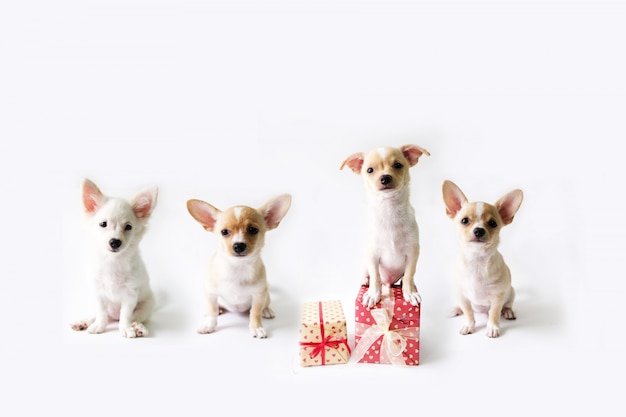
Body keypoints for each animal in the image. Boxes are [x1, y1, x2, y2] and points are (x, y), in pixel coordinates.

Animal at [70, 179, 158, 338]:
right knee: (98, 315)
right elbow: (101, 313)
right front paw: (99, 326)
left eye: (128, 227)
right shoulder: (98, 293)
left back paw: (138, 327)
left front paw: (126, 328)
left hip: (146, 306)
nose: (115, 242)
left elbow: (126, 315)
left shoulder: (130, 295)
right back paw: (84, 322)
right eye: (103, 224)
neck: (113, 261)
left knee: (134, 317)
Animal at [186, 194, 292, 338]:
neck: (237, 268)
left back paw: (267, 311)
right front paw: (209, 325)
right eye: (224, 232)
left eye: (253, 230)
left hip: (266, 296)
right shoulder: (211, 293)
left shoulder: (259, 295)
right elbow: (212, 311)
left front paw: (256, 327)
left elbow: (255, 313)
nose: (239, 245)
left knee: (264, 305)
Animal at [342, 145, 428, 308]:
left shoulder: (412, 252)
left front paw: (410, 293)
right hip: (365, 261)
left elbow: (409, 275)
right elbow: (375, 276)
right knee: (367, 273)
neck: (389, 209)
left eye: (398, 165)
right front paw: (373, 295)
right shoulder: (372, 254)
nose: (385, 177)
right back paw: (364, 280)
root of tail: (388, 283)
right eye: (370, 170)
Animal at [442, 180, 524, 336]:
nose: (479, 230)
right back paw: (456, 309)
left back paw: (508, 311)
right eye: (464, 221)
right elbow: (468, 312)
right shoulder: (462, 296)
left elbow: (494, 313)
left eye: (493, 223)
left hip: (511, 292)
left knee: (506, 305)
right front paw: (468, 325)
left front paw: (492, 327)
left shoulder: (497, 297)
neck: (477, 261)